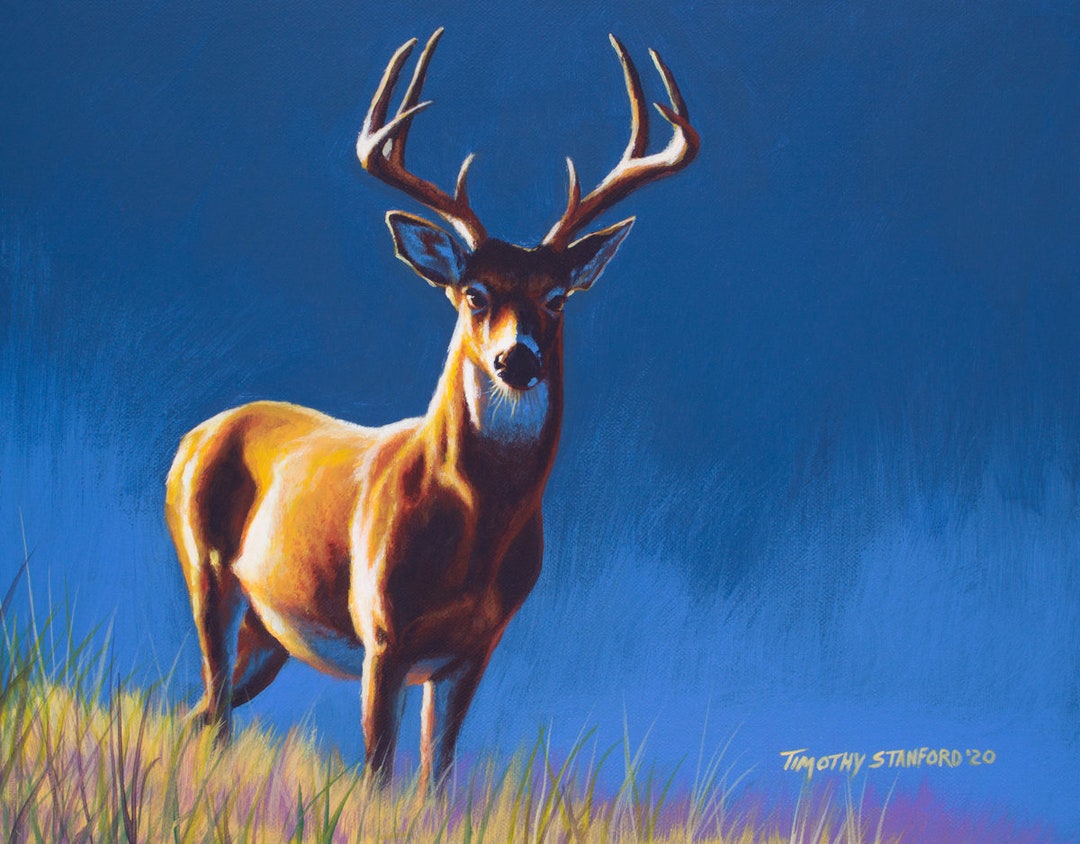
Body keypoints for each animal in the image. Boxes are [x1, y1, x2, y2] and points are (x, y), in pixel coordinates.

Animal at [164, 28, 698, 792]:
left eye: (557, 298)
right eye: (474, 293)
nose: (517, 359)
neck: (473, 533)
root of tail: (193, 435)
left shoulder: (474, 650)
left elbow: (437, 778)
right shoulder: (382, 631)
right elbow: (379, 774)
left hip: (270, 631)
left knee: (200, 710)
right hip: (207, 569)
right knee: (211, 709)